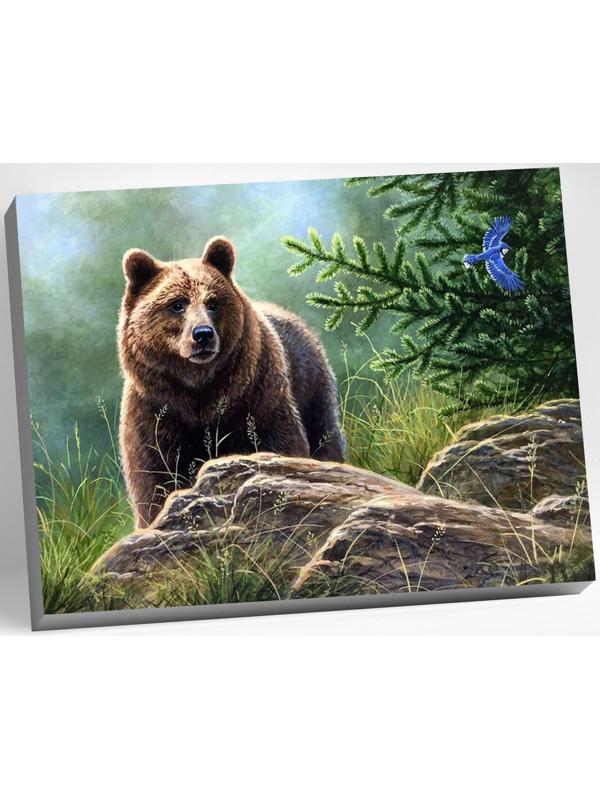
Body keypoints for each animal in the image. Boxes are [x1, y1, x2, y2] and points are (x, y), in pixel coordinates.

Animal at [118, 235, 345, 528]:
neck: (199, 392)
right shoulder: (155, 414)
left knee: (325, 436)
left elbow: (282, 444)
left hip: (312, 388)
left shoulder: (257, 399)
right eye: (177, 304)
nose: (202, 334)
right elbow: (154, 481)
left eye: (213, 303)